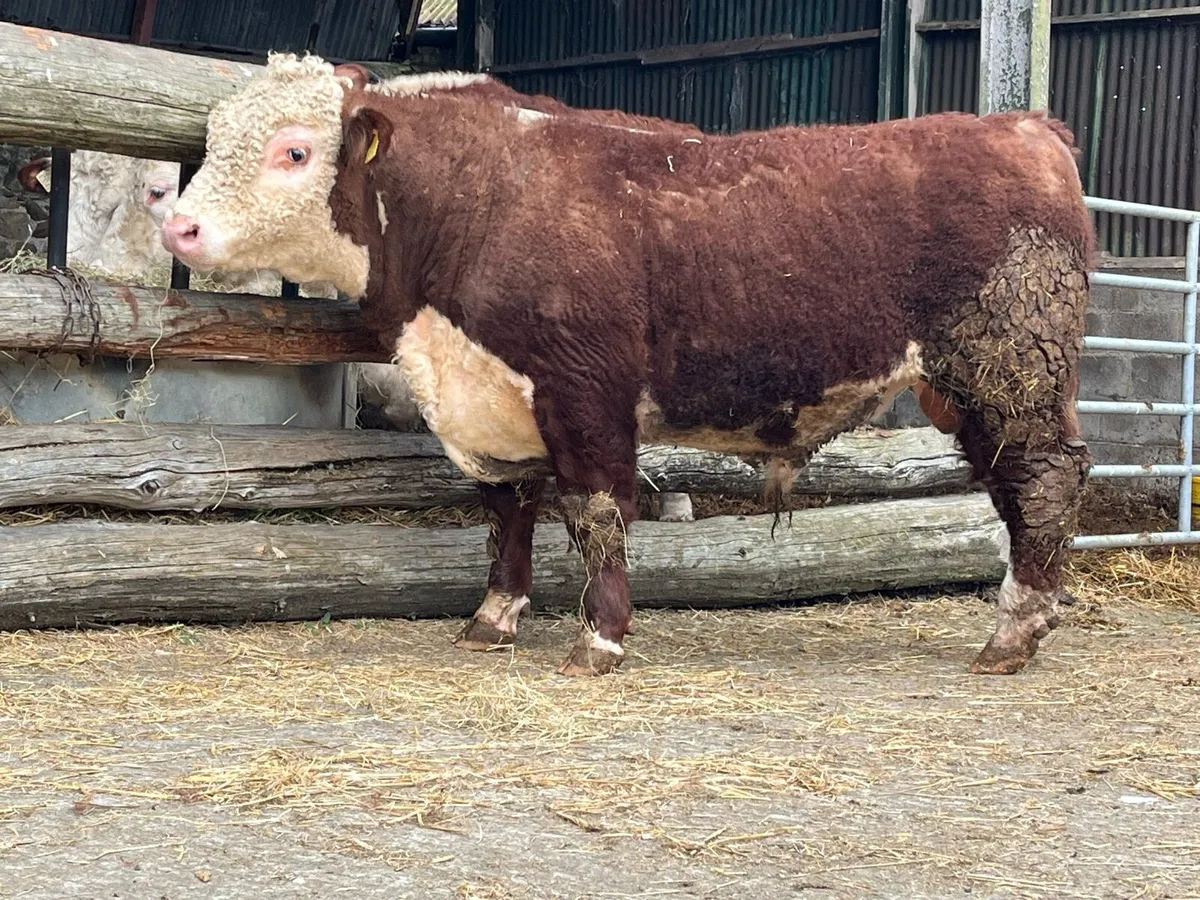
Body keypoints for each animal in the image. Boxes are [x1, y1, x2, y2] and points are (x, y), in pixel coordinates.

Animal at [162, 55, 1093, 678]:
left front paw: (599, 637)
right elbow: (508, 509)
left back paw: (1015, 633)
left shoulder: (584, 390)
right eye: (213, 138)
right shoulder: (490, 399)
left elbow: (598, 510)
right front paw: (493, 618)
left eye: (294, 152)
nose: (179, 228)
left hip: (1009, 367)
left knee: (1043, 478)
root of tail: (1022, 125)